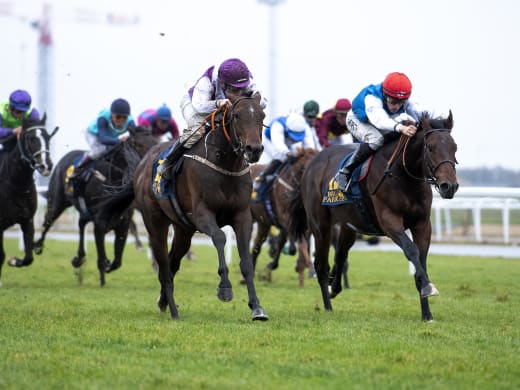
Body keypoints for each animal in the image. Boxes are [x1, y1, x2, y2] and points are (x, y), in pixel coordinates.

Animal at [0, 114, 57, 282]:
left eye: (47, 137)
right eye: (31, 138)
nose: (46, 166)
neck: (17, 184)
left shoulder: (27, 220)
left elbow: (28, 257)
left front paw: (13, 260)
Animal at [32, 126, 157, 284]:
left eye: (155, 142)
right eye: (139, 145)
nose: (152, 163)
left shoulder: (122, 225)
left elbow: (117, 261)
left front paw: (108, 265)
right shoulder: (99, 223)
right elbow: (102, 256)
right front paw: (103, 277)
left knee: (81, 223)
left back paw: (78, 258)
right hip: (57, 201)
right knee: (48, 220)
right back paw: (38, 245)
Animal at [99, 94, 268, 320]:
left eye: (261, 115)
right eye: (237, 116)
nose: (254, 149)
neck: (225, 165)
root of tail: (142, 165)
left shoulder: (242, 216)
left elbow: (247, 261)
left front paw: (257, 307)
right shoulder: (202, 214)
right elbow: (219, 237)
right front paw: (224, 288)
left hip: (183, 230)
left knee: (173, 261)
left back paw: (163, 301)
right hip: (155, 224)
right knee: (164, 266)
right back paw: (173, 310)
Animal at [249, 147, 316, 286]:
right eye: (305, 169)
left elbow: (296, 244)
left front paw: (300, 268)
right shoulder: (287, 219)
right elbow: (299, 244)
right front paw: (310, 269)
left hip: (264, 223)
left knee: (256, 247)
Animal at [290, 112, 458, 320]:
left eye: (454, 147)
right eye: (431, 147)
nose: (449, 186)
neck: (403, 175)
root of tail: (312, 163)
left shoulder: (422, 224)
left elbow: (421, 261)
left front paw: (427, 314)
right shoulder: (389, 221)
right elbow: (411, 251)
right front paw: (428, 287)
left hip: (348, 226)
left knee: (340, 255)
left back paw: (334, 287)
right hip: (320, 225)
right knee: (321, 265)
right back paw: (328, 305)